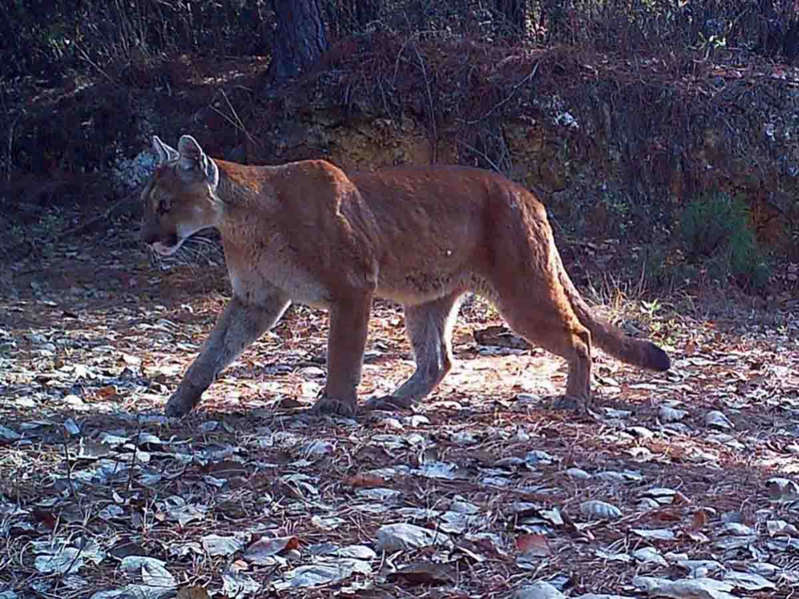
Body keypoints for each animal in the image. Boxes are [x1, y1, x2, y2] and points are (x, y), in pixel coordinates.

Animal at [142, 135, 668, 418]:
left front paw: (335, 404)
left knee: (579, 334)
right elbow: (214, 349)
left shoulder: (351, 288)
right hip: (425, 299)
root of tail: (526, 193)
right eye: (149, 203)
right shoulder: (255, 299)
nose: (147, 237)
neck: (242, 218)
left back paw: (574, 399)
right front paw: (181, 399)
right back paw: (396, 399)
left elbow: (343, 351)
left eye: (164, 204)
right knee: (438, 359)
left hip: (522, 290)